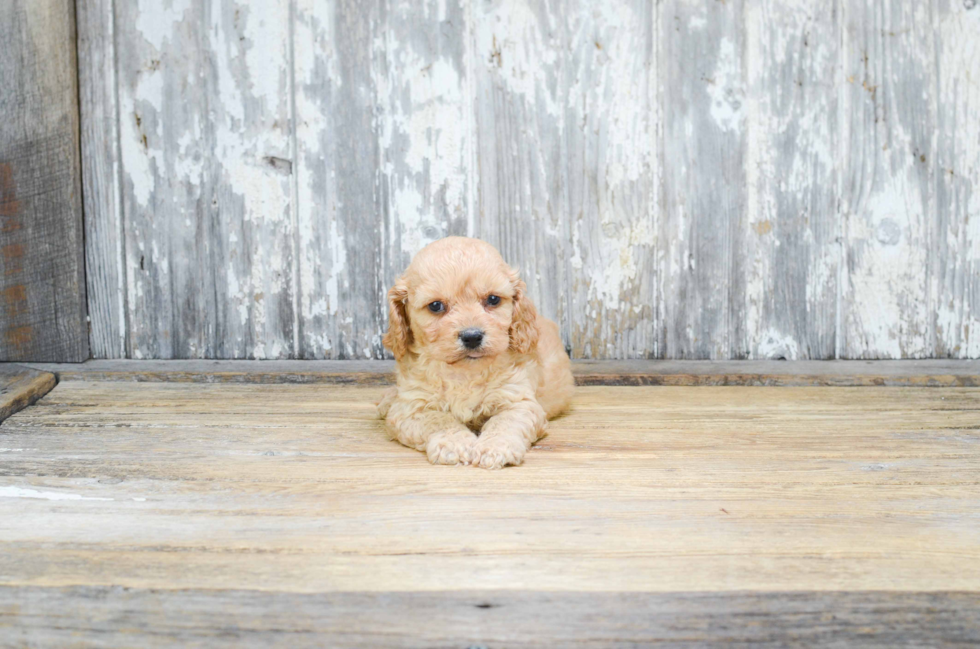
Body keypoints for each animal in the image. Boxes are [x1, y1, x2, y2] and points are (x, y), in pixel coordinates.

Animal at [376, 235, 576, 468]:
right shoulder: (410, 408)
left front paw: (495, 448)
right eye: (435, 306)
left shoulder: (519, 401)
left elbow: (504, 422)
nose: (472, 336)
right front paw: (454, 443)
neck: (464, 373)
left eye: (493, 299)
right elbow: (438, 419)